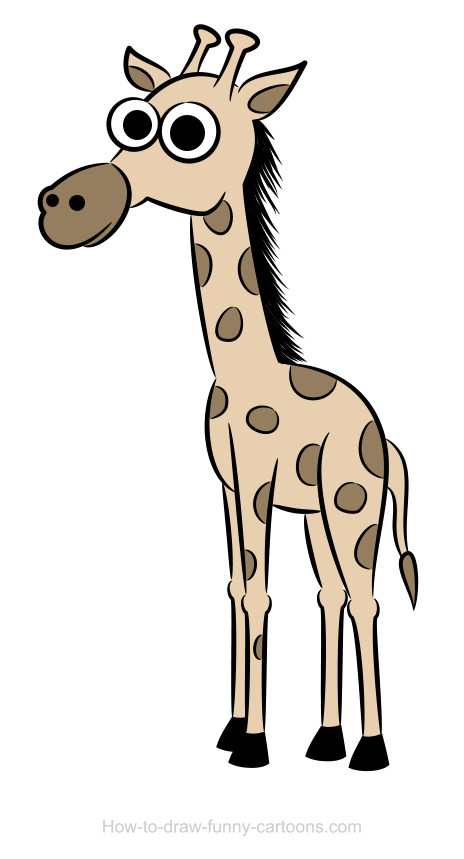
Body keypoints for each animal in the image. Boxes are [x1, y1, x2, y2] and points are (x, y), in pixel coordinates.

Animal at [38, 25, 418, 771]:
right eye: (131, 119)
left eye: (190, 132)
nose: (64, 205)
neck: (244, 373)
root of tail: (380, 433)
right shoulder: (228, 484)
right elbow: (238, 588)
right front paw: (232, 728)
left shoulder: (259, 482)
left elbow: (261, 593)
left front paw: (254, 745)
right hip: (318, 511)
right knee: (332, 592)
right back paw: (326, 740)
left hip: (352, 501)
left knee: (364, 597)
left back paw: (370, 748)